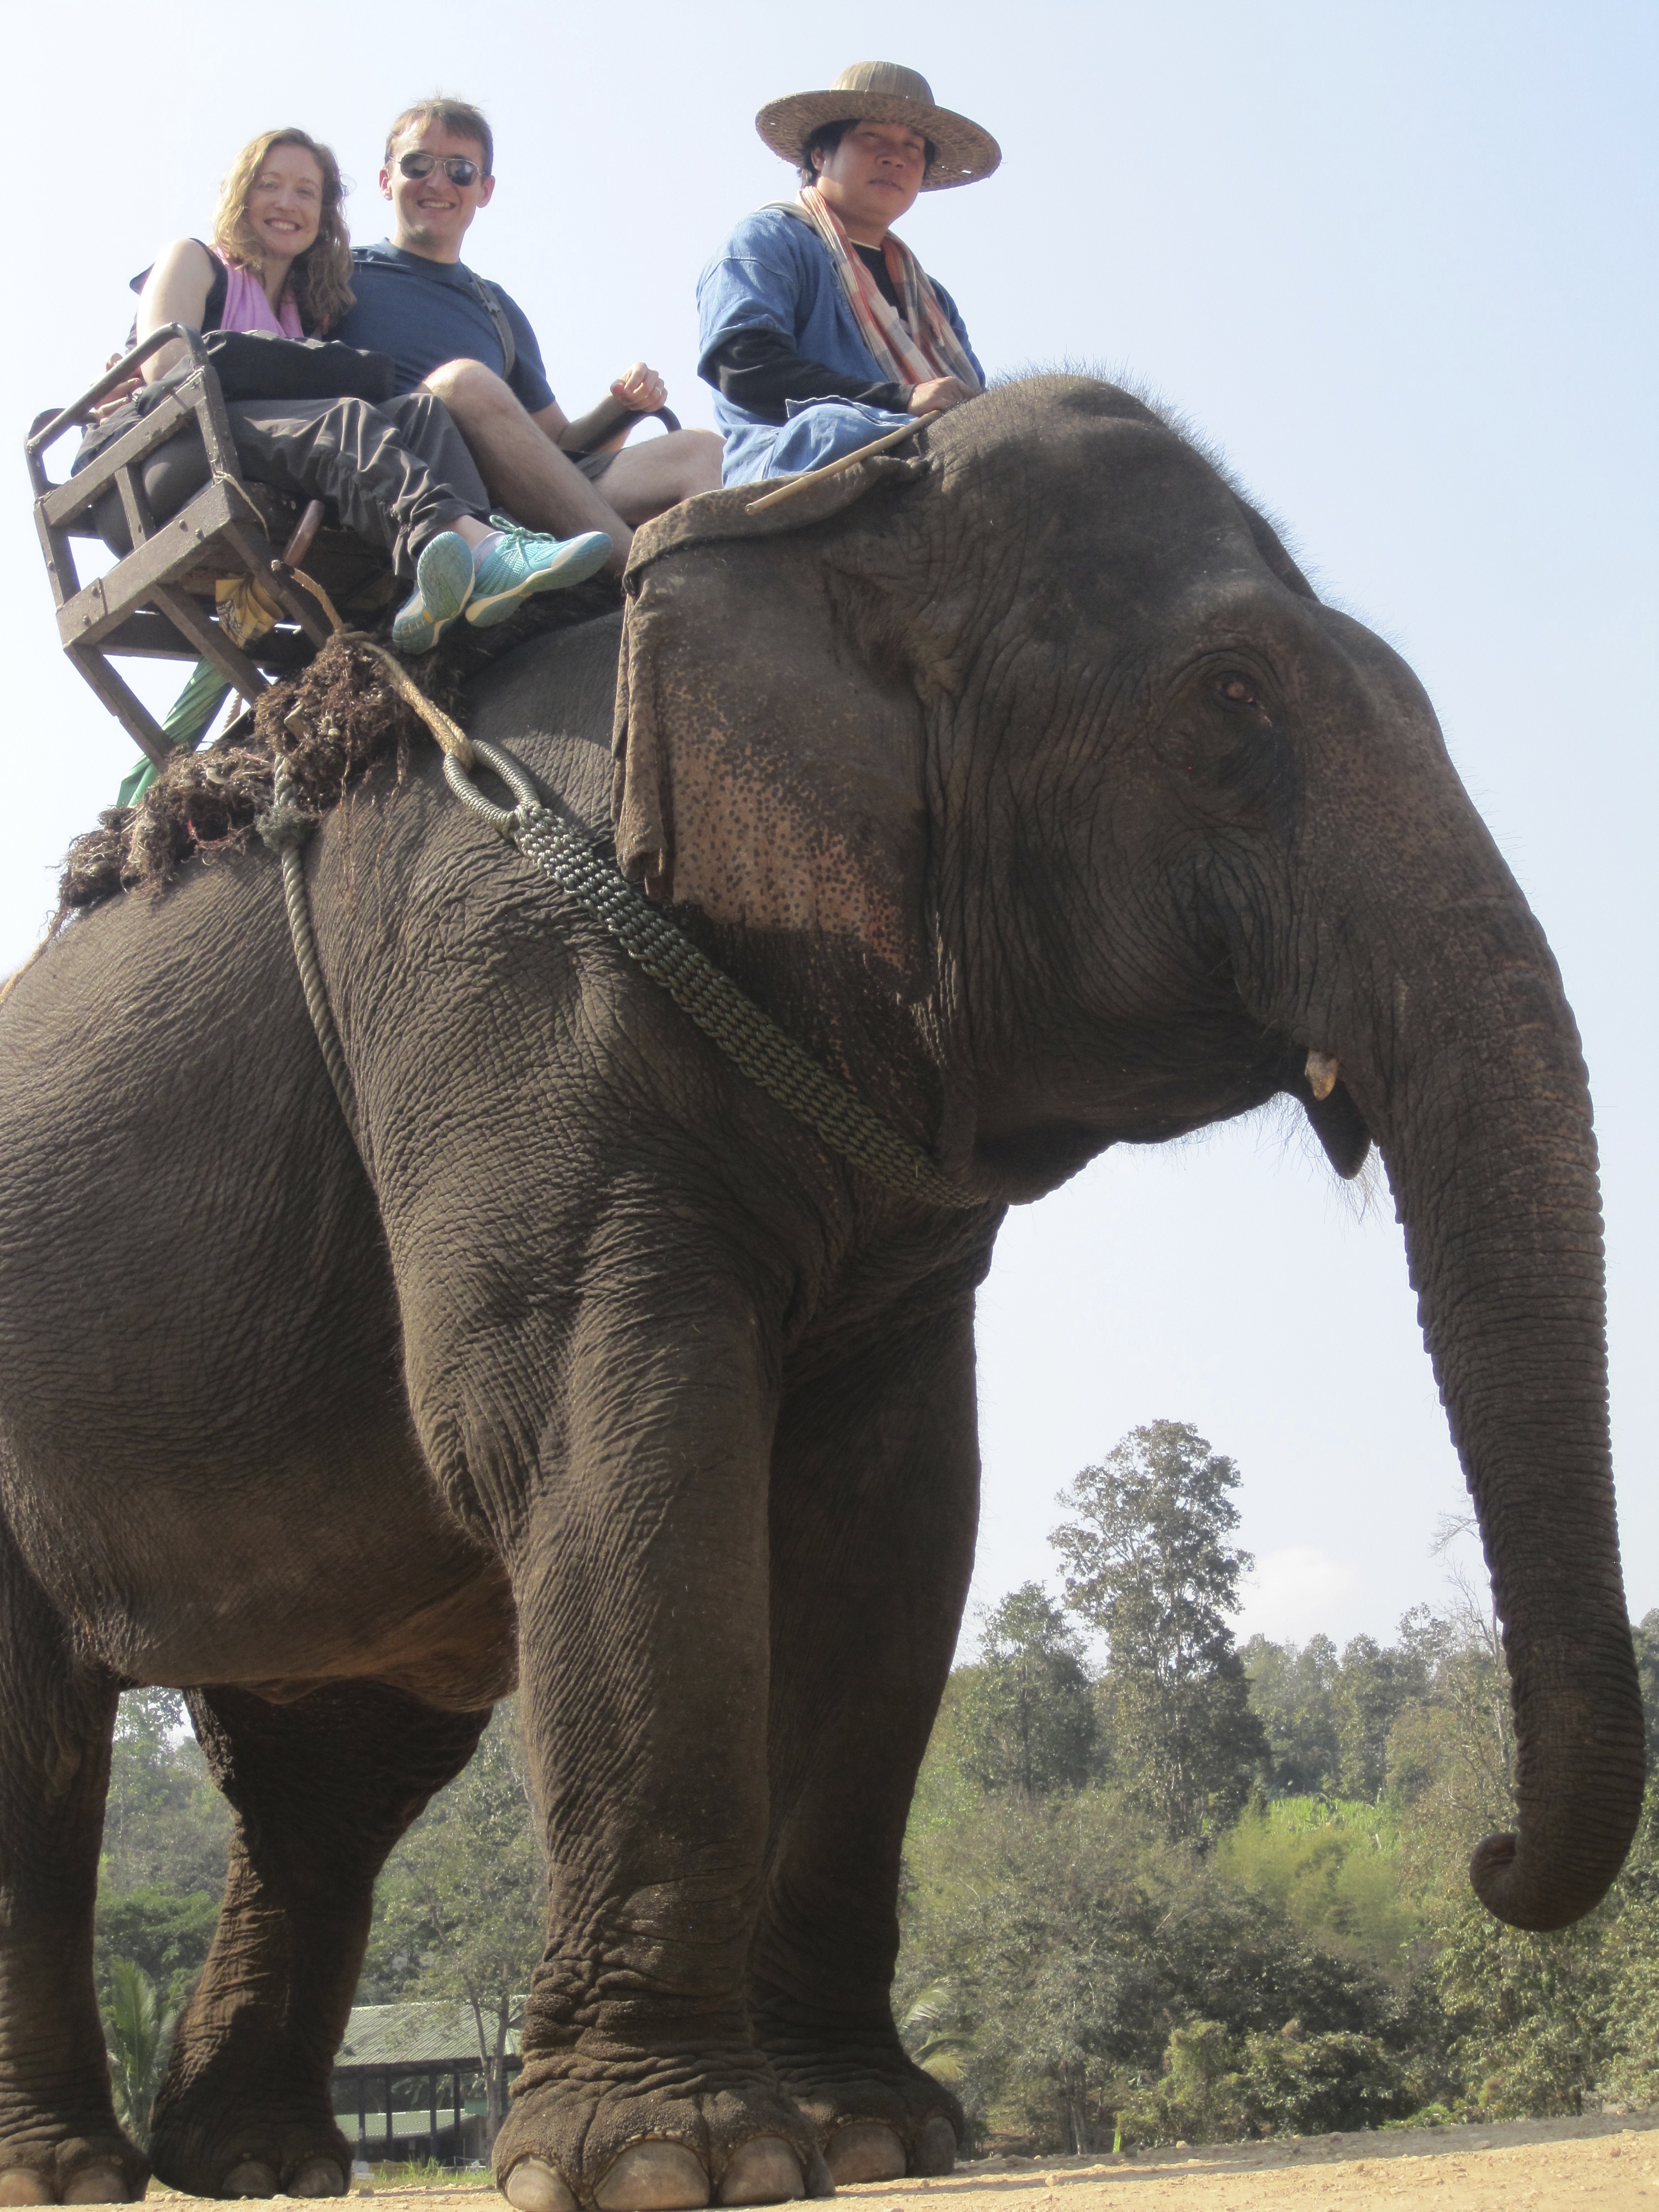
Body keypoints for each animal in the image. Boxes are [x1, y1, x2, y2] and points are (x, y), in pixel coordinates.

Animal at [0, 373, 1640, 2212]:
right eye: (1231, 696)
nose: (1492, 1854)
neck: (806, 533)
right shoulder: (505, 995)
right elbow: (602, 1443)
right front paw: (676, 2159)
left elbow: (894, 1512)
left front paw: (872, 2131)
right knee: (44, 1759)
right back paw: (67, 2170)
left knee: (331, 1775)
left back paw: (258, 2162)